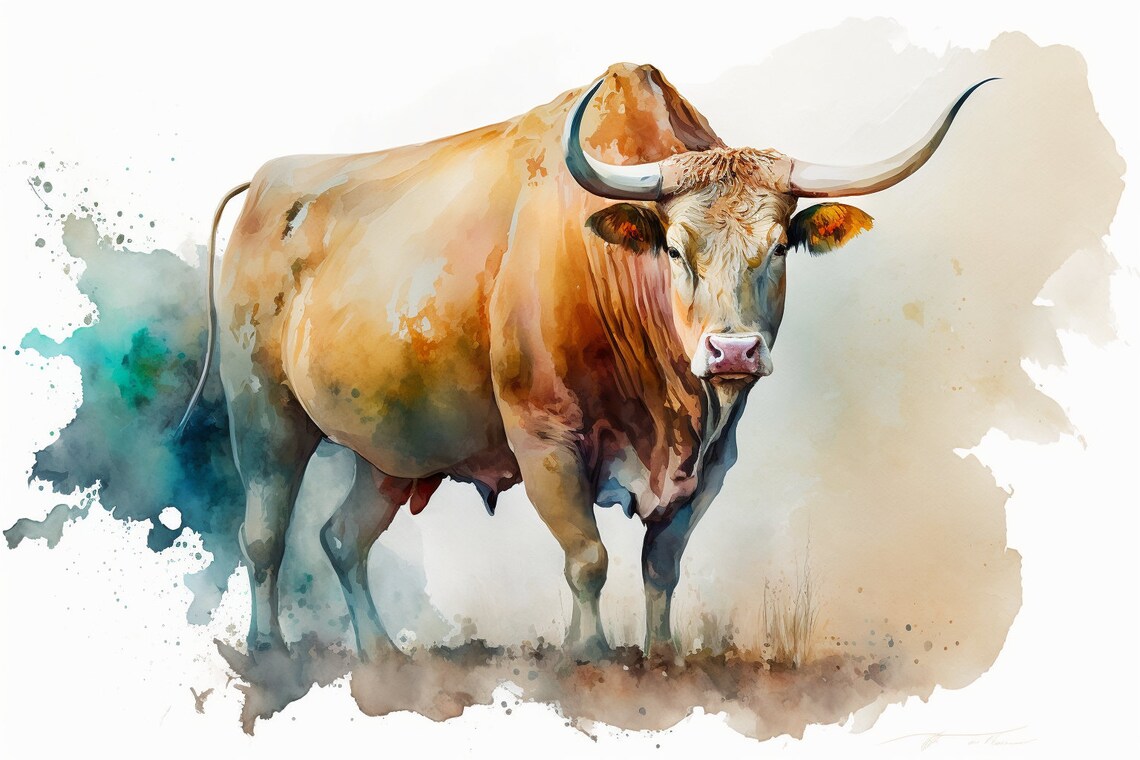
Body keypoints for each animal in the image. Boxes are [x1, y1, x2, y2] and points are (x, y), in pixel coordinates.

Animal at [179, 63, 992, 662]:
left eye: (780, 247)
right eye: (674, 249)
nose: (733, 350)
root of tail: (273, 181)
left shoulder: (715, 460)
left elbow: (661, 563)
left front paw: (661, 657)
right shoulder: (544, 440)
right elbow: (587, 558)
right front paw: (589, 654)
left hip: (394, 454)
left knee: (343, 539)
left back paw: (381, 657)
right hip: (264, 414)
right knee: (265, 533)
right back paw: (268, 648)